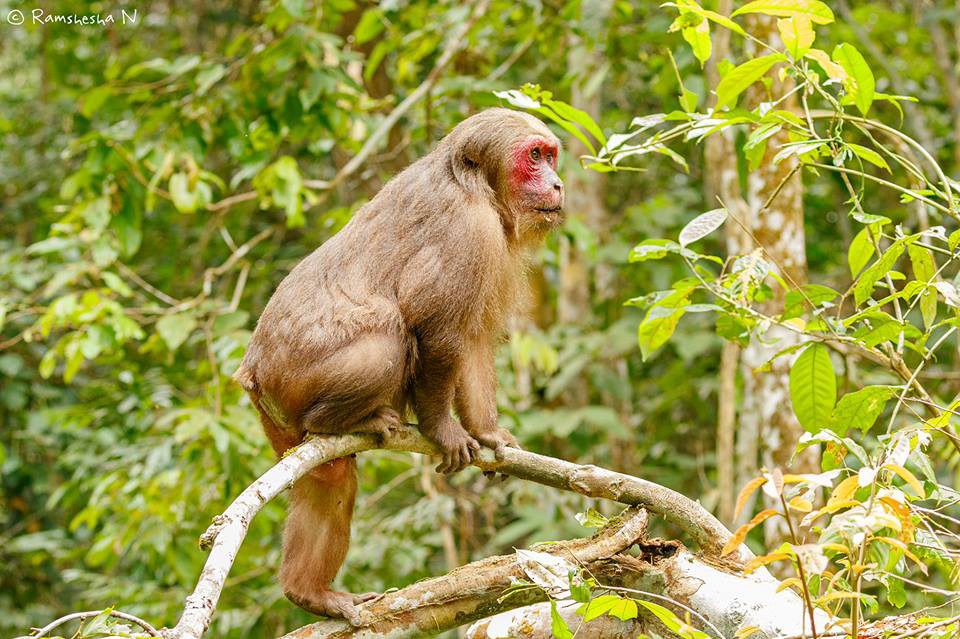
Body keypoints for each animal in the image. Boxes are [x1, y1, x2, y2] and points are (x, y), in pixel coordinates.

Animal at [232, 108, 564, 624]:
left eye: (550, 155)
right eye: (533, 156)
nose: (557, 184)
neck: (476, 188)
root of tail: (253, 367)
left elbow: (472, 344)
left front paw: (487, 431)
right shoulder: (469, 232)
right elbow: (439, 333)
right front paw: (441, 429)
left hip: (273, 415)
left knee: (329, 476)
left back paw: (309, 593)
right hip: (293, 376)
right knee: (389, 335)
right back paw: (340, 420)